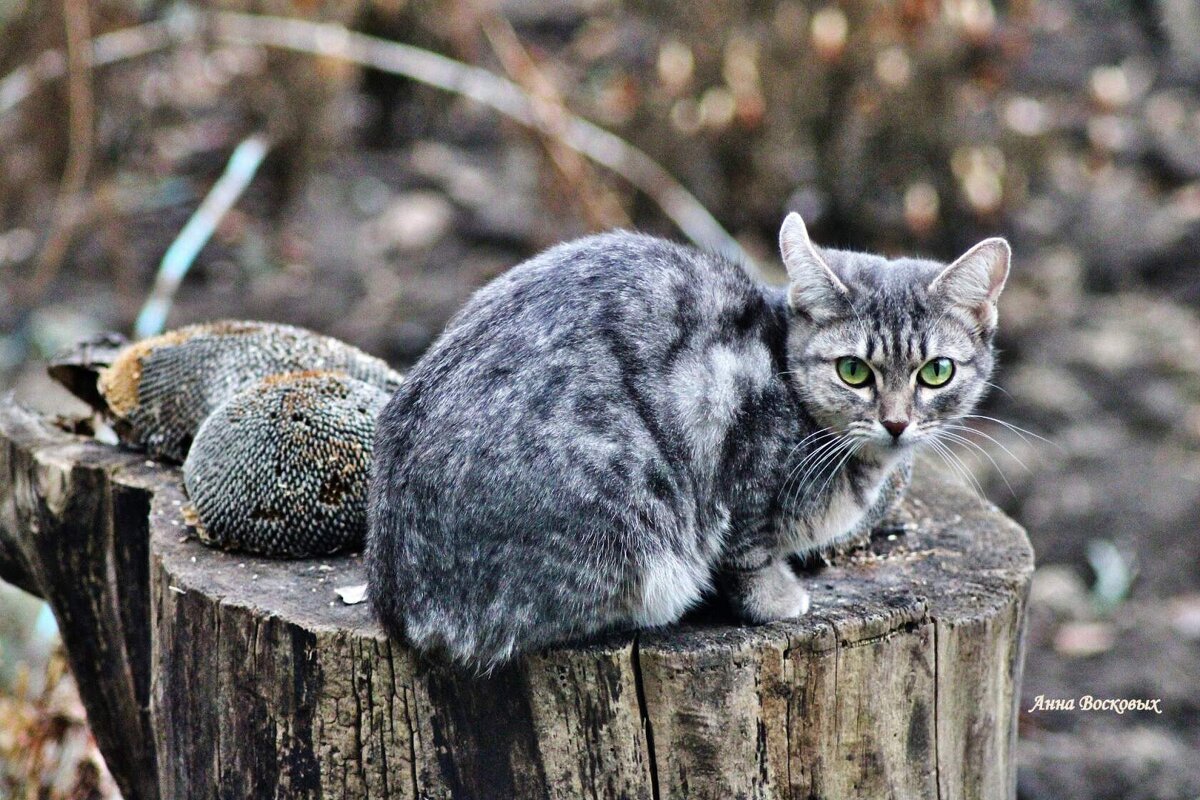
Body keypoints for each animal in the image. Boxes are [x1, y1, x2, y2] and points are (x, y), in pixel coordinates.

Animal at [367, 212, 1012, 671]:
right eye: (853, 371)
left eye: (936, 372)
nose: (896, 422)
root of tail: (399, 602)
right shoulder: (743, 472)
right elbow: (750, 550)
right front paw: (776, 598)